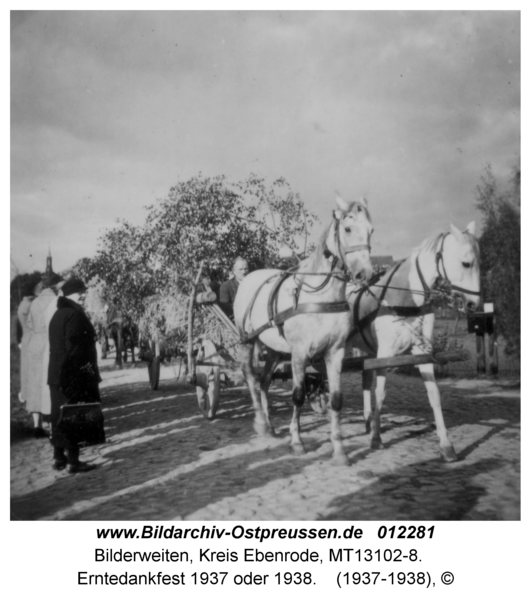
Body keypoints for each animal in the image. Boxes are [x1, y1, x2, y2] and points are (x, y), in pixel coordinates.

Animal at [235, 197, 376, 464]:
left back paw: (269, 425)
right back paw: (260, 422)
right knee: (250, 375)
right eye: (347, 229)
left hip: (274, 348)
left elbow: (336, 399)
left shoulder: (335, 352)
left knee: (265, 380)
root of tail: (248, 278)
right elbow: (298, 396)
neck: (319, 296)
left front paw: (339, 450)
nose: (366, 274)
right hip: (247, 340)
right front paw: (297, 442)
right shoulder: (299, 353)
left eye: (371, 230)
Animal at [350, 223, 482, 462]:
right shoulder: (384, 354)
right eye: (466, 263)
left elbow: (434, 394)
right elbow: (380, 393)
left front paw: (446, 445)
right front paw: (376, 438)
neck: (404, 299)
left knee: (364, 379)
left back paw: (367, 420)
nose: (474, 304)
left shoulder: (422, 351)